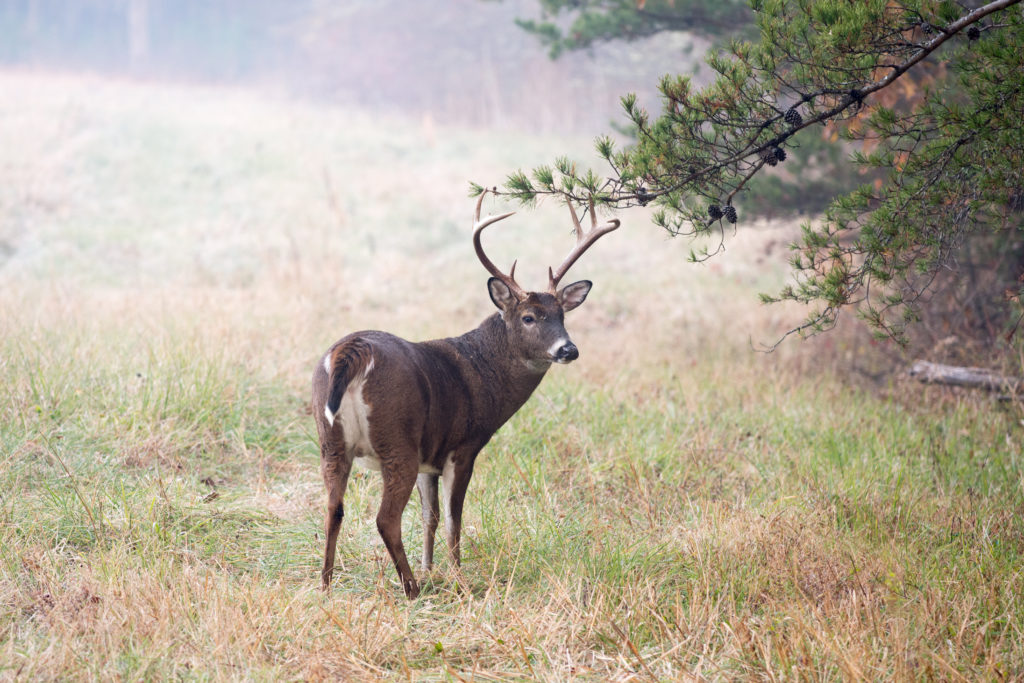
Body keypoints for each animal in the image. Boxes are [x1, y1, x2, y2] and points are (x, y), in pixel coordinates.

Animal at [311, 189, 619, 598]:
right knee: (385, 518)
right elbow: (452, 520)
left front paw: (431, 568)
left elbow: (429, 516)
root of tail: (352, 351)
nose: (568, 349)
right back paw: (410, 588)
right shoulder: (464, 446)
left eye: (562, 316)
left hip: (331, 440)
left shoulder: (429, 455)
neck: (482, 371)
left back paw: (327, 584)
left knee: (333, 507)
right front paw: (458, 577)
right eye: (528, 318)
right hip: (396, 439)